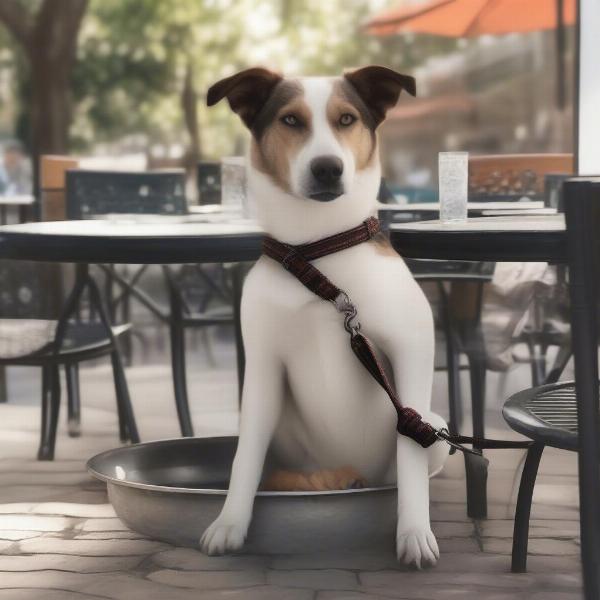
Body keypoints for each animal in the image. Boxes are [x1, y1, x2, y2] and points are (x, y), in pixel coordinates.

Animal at [203, 65, 450, 568]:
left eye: (347, 119)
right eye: (291, 120)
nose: (327, 168)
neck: (317, 255)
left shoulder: (412, 351)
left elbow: (410, 453)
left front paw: (414, 532)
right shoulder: (262, 367)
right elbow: (245, 457)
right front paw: (229, 523)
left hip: (438, 429)